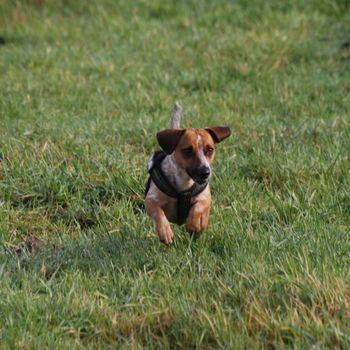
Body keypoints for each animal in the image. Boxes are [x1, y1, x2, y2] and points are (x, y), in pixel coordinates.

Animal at [144, 102, 231, 245]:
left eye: (210, 150)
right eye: (188, 151)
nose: (205, 172)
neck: (184, 184)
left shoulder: (205, 198)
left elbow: (198, 208)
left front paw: (193, 224)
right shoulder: (151, 200)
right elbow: (158, 213)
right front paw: (165, 232)